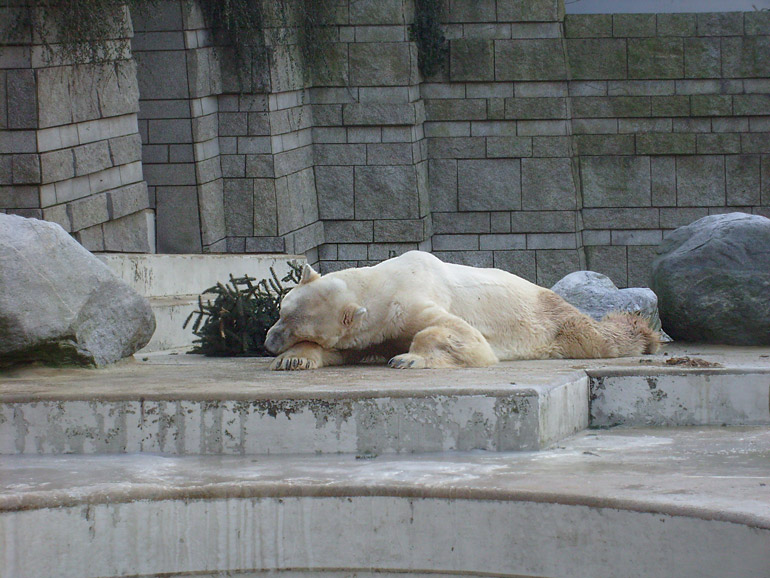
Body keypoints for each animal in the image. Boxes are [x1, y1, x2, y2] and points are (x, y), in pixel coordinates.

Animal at [262, 251, 656, 368]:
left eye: (293, 323)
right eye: (282, 312)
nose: (268, 342)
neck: (382, 284)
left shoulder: (413, 303)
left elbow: (464, 335)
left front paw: (407, 359)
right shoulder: (370, 332)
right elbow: (344, 351)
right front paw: (293, 360)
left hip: (553, 321)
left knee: (598, 338)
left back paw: (642, 333)